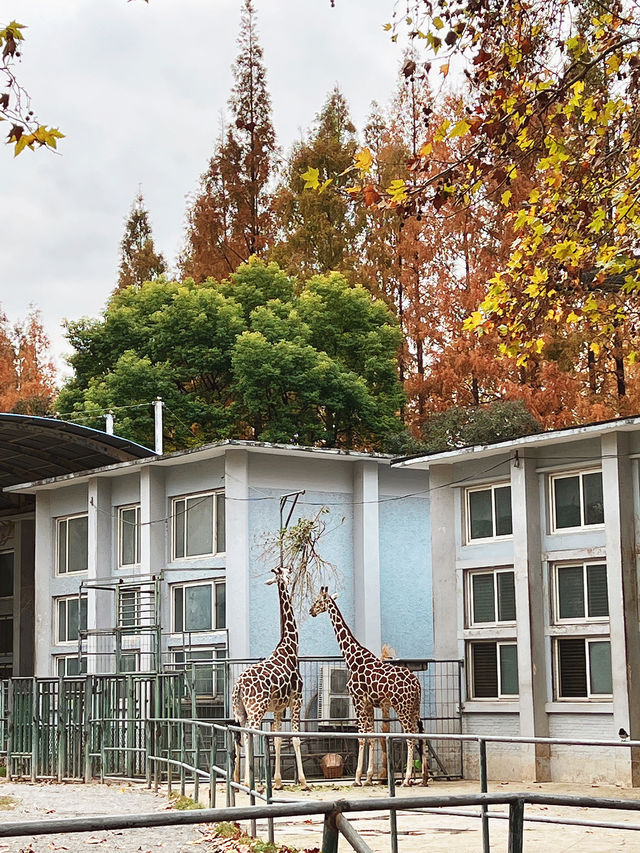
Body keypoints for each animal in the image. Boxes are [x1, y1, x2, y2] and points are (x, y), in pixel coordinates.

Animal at [232, 564, 310, 792]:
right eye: (286, 572)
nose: (291, 572)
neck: (290, 648)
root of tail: (238, 686)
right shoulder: (297, 699)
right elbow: (295, 738)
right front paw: (303, 781)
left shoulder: (278, 707)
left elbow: (276, 740)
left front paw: (277, 782)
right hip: (255, 709)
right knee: (250, 734)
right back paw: (248, 782)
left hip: (241, 711)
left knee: (243, 735)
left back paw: (244, 781)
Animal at [312, 584, 428, 784]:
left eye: (318, 601)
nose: (311, 611)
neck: (351, 658)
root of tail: (416, 683)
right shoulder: (369, 704)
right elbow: (372, 736)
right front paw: (368, 778)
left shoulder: (358, 700)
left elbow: (361, 737)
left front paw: (358, 778)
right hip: (414, 706)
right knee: (420, 732)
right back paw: (423, 779)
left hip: (402, 706)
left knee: (411, 735)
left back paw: (406, 779)